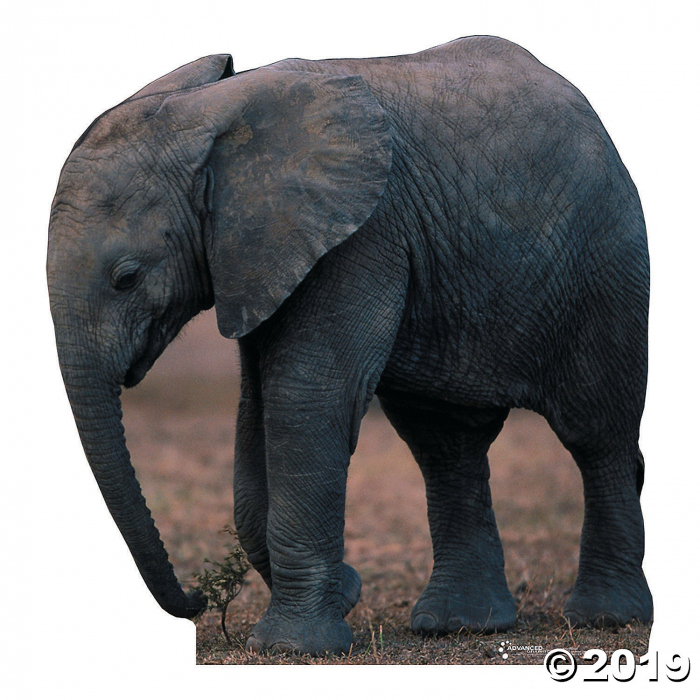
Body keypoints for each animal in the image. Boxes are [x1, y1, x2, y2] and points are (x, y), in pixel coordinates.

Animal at [47, 35, 652, 656]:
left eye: (126, 278)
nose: (194, 600)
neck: (212, 120)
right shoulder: (264, 255)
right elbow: (257, 408)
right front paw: (341, 596)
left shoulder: (360, 234)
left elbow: (305, 397)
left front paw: (295, 647)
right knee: (446, 444)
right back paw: (459, 626)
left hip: (606, 263)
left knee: (596, 431)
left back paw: (605, 619)